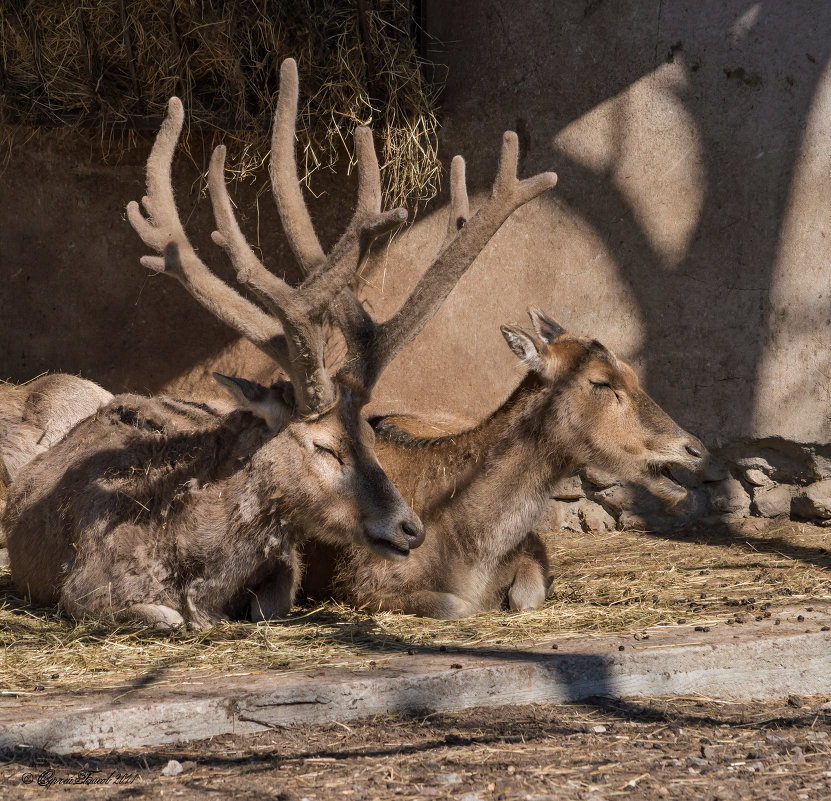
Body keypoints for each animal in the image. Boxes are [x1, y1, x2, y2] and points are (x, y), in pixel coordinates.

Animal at [4, 59, 560, 628]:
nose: (410, 528)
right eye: (324, 447)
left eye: (371, 433)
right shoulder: (82, 587)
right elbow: (165, 616)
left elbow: (268, 604)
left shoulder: (285, 567)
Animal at [296, 300, 704, 620]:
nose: (695, 449)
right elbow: (459, 606)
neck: (471, 551)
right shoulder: (356, 582)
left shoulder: (532, 545)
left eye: (632, 373)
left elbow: (527, 597)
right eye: (601, 382)